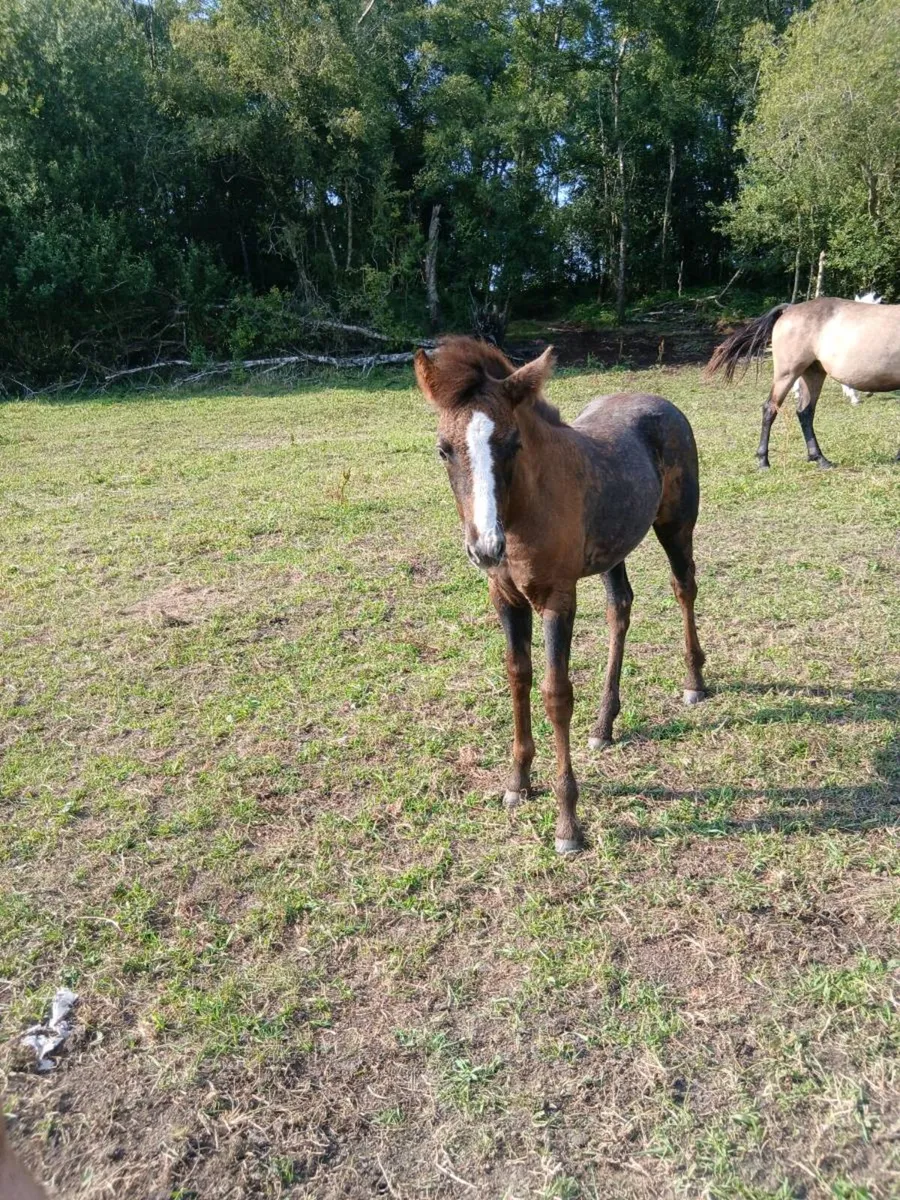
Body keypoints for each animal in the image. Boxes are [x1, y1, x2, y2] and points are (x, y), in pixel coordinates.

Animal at [415, 337, 707, 854]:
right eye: (443, 450)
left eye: (511, 443)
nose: (485, 548)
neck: (522, 514)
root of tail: (662, 401)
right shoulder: (505, 598)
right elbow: (518, 678)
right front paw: (517, 782)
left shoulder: (556, 599)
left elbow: (556, 693)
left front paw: (568, 823)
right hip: (613, 547)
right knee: (620, 607)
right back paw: (604, 723)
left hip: (676, 525)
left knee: (683, 587)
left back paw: (694, 680)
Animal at [705, 295, 900, 469]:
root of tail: (790, 308)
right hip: (787, 374)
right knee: (770, 408)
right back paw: (763, 461)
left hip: (812, 373)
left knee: (805, 412)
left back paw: (820, 459)